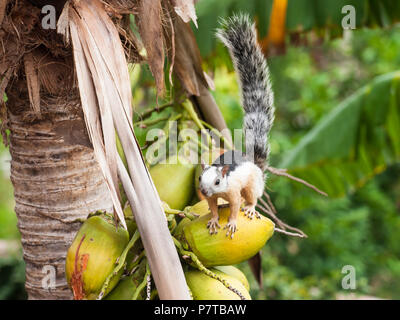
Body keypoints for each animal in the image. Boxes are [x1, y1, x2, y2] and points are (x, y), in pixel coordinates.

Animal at [198, 15, 276, 239]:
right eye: (200, 178)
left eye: (217, 181)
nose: (203, 191)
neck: (220, 190)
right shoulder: (211, 197)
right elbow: (213, 206)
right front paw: (214, 219)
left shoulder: (232, 191)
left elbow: (233, 206)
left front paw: (231, 222)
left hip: (252, 184)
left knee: (251, 196)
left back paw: (249, 207)